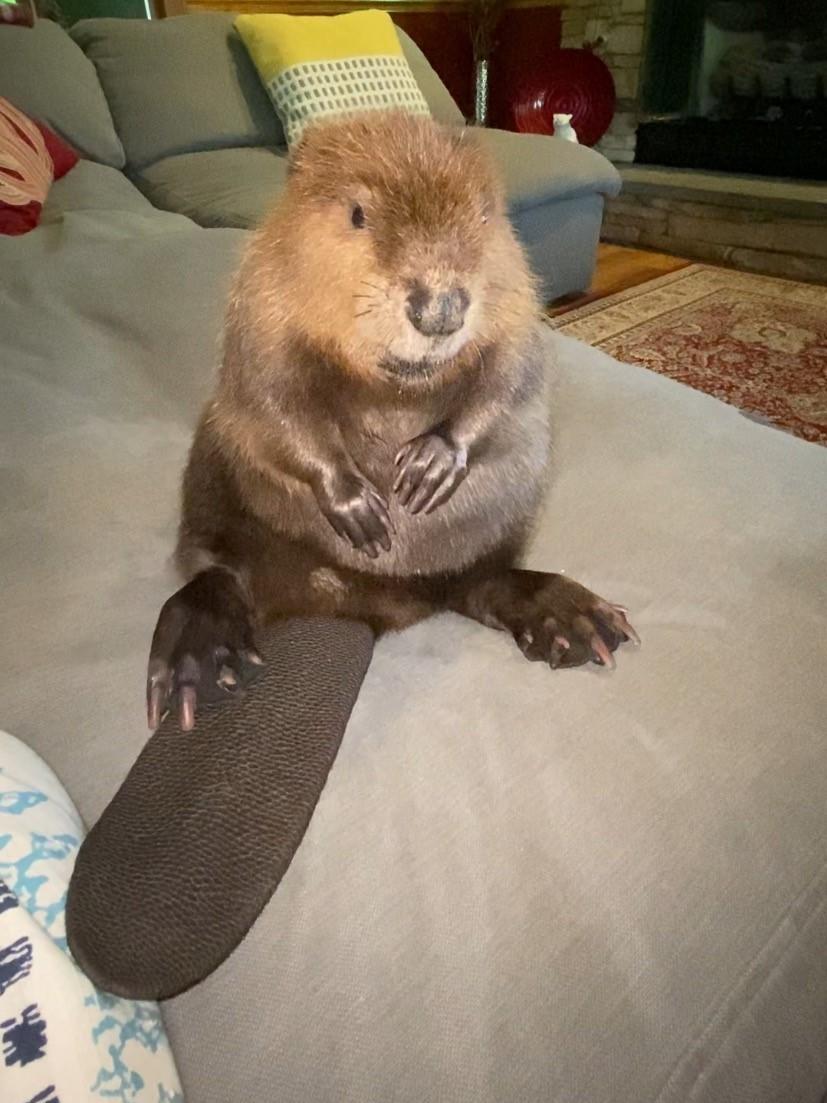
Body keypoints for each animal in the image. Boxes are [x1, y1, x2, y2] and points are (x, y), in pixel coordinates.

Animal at [147, 111, 639, 732]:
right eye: (358, 213)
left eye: (484, 213)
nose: (441, 308)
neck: (397, 381)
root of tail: (349, 603)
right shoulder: (260, 306)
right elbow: (273, 398)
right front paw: (362, 510)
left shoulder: (517, 299)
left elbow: (507, 378)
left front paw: (428, 466)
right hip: (211, 471)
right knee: (214, 564)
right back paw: (203, 663)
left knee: (481, 580)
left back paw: (576, 621)